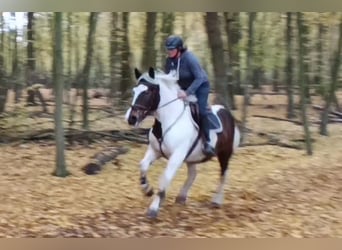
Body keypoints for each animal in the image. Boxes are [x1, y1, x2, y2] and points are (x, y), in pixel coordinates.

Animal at [124, 67, 239, 219]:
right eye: (134, 91)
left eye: (147, 92)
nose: (131, 118)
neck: (167, 120)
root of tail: (227, 112)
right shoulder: (155, 151)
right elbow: (143, 165)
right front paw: (147, 190)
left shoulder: (177, 156)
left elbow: (165, 177)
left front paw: (154, 208)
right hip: (192, 156)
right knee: (193, 174)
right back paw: (181, 196)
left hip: (224, 153)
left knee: (224, 174)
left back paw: (217, 200)